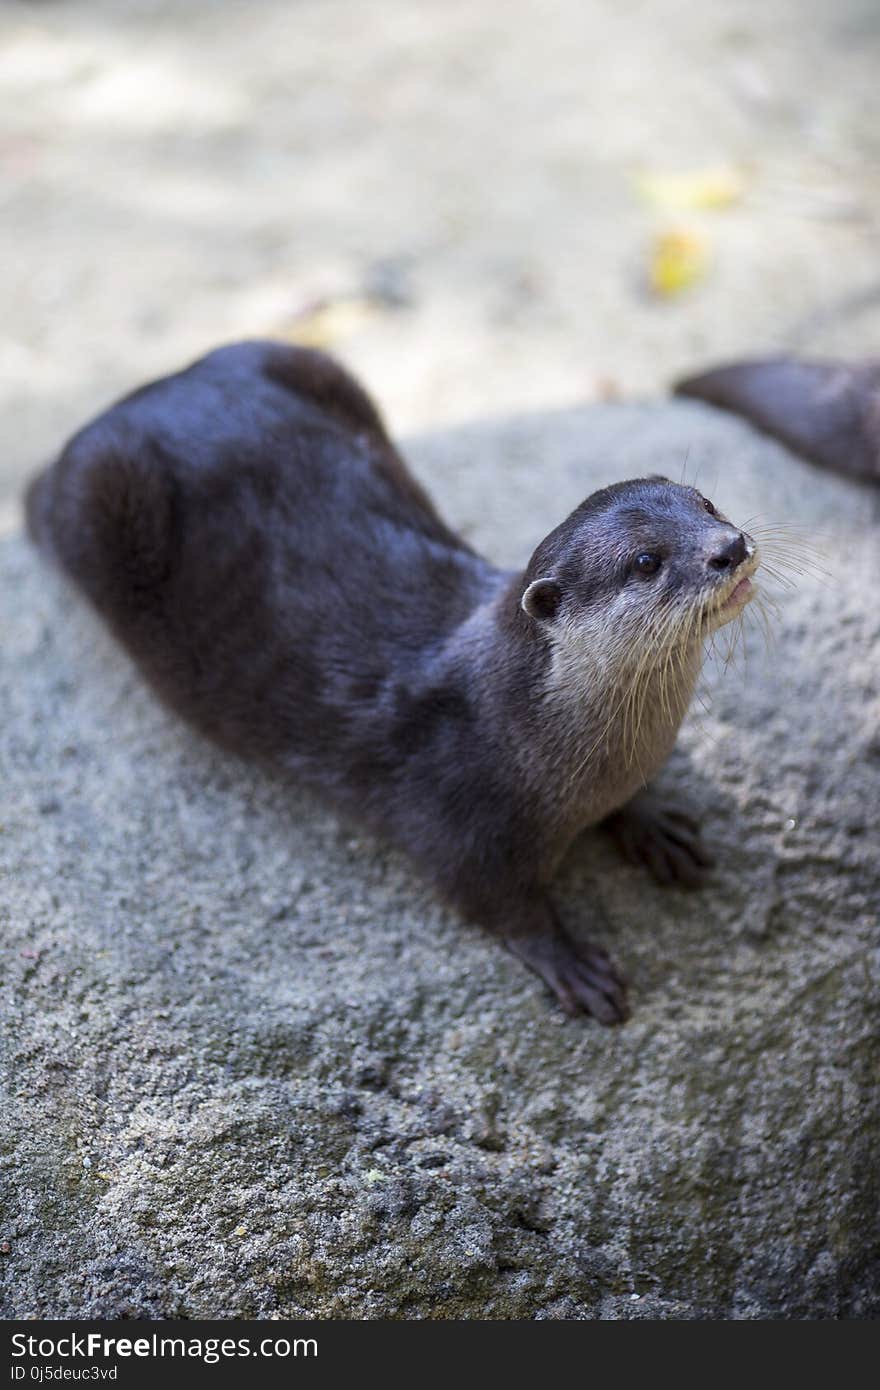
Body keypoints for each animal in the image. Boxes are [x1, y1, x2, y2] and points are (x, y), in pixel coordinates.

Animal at [23, 341, 756, 1028]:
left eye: (708, 504)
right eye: (646, 561)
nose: (733, 546)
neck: (525, 735)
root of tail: (154, 390)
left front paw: (651, 821)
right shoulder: (457, 818)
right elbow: (494, 902)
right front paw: (568, 960)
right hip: (100, 489)